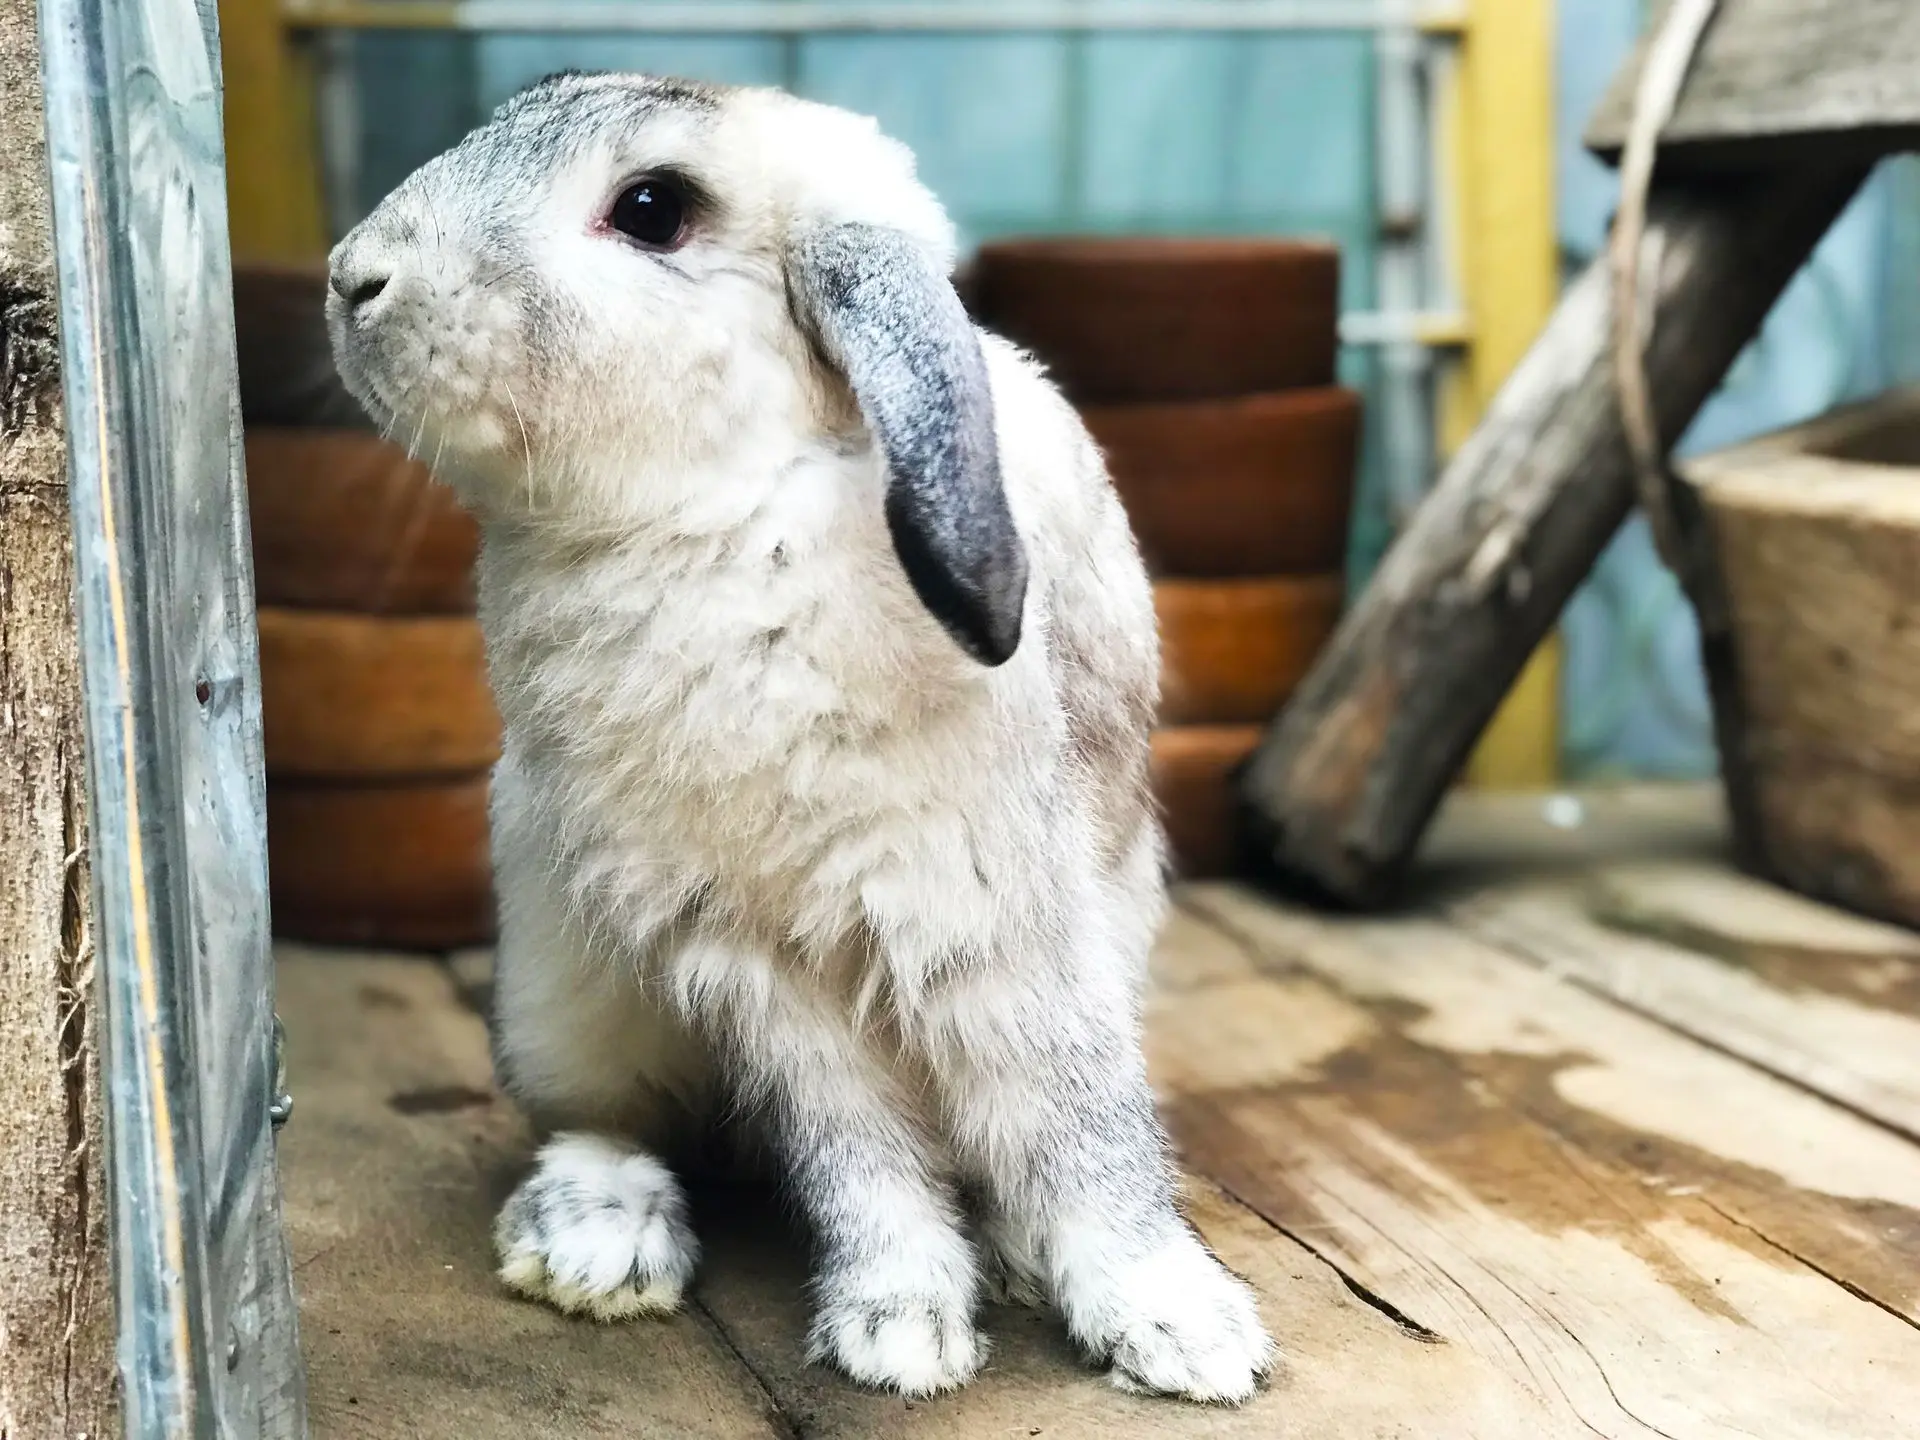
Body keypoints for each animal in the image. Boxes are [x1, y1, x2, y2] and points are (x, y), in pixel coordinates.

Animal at [325, 70, 1275, 1404]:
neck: (723, 508)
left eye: (653, 208)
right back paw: (596, 1244)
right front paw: (901, 1329)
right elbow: (856, 1152)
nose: (353, 276)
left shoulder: (999, 925)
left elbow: (1078, 1124)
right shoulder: (762, 963)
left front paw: (1182, 1331)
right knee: (604, 1118)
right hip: (564, 979)